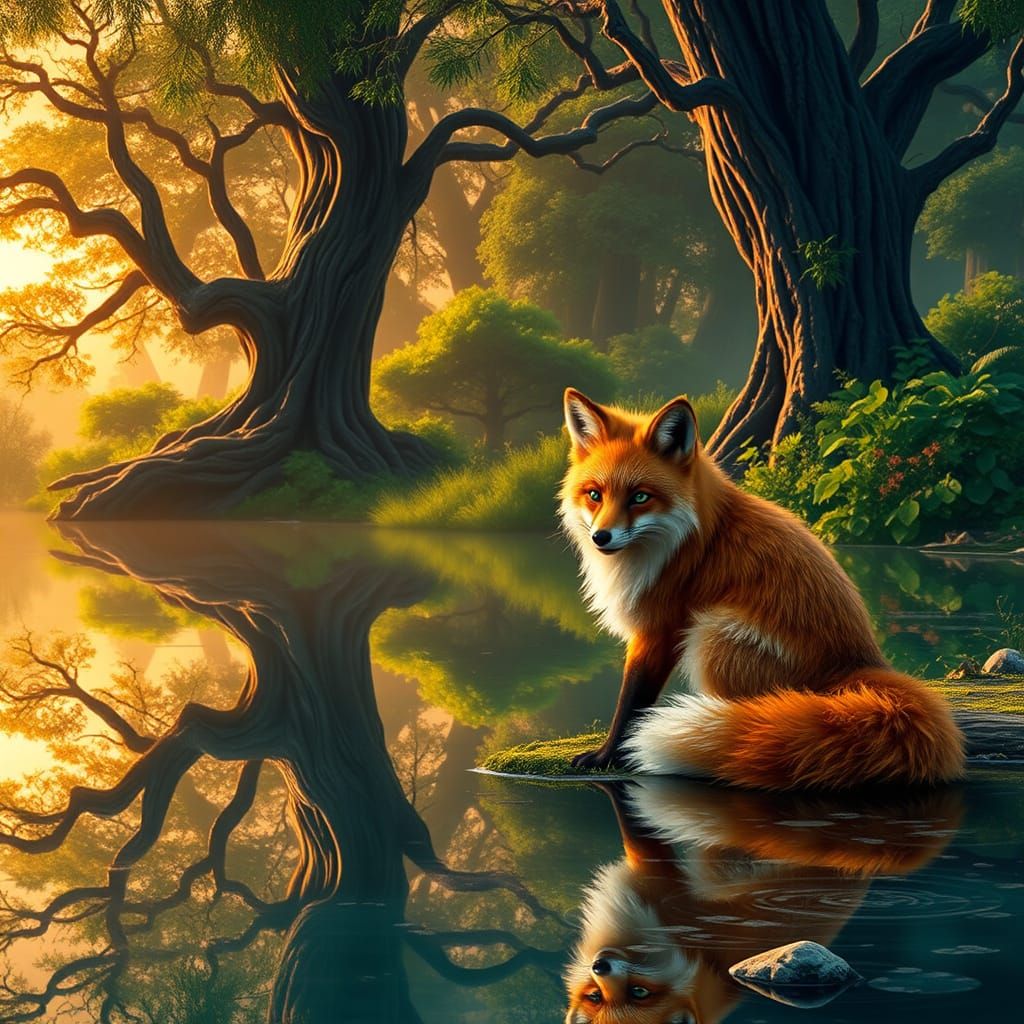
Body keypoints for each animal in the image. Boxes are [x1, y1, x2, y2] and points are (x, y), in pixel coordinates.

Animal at [558, 388, 965, 788]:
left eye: (640, 497)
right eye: (594, 494)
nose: (601, 537)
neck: (687, 537)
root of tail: (860, 667)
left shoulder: (658, 628)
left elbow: (631, 703)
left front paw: (609, 756)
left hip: (710, 636)